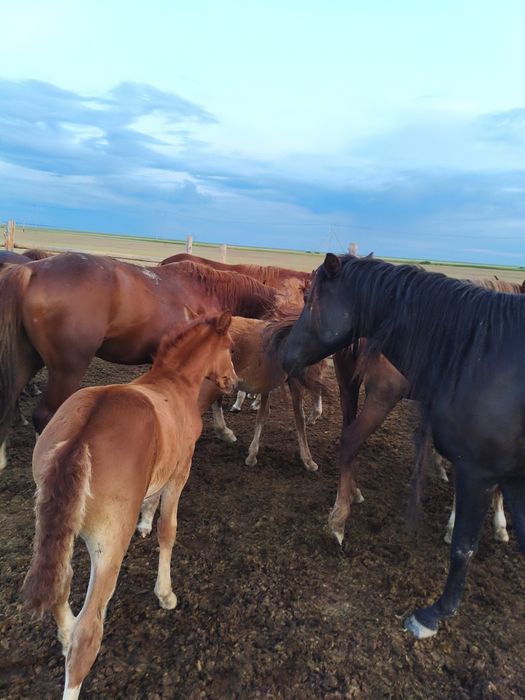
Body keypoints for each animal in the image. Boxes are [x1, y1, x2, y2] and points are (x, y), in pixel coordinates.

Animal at [0, 253, 278, 468]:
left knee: (9, 398)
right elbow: (215, 398)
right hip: (67, 369)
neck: (206, 291)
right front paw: (225, 431)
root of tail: (33, 271)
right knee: (44, 415)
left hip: (28, 360)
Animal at [21, 312, 236, 700]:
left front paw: (145, 522)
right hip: (108, 544)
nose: (233, 381)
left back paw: (64, 633)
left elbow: (150, 501)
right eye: (230, 347)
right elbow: (169, 531)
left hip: (52, 524)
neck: (173, 384)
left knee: (61, 581)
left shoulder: (161, 471)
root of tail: (79, 440)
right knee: (88, 633)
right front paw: (165, 593)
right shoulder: (180, 472)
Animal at [283, 253, 525, 639]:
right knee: (350, 441)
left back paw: (352, 496)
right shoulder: (482, 461)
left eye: (310, 299)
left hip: (350, 385)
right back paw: (339, 520)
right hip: (382, 395)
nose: (286, 355)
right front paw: (488, 524)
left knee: (348, 437)